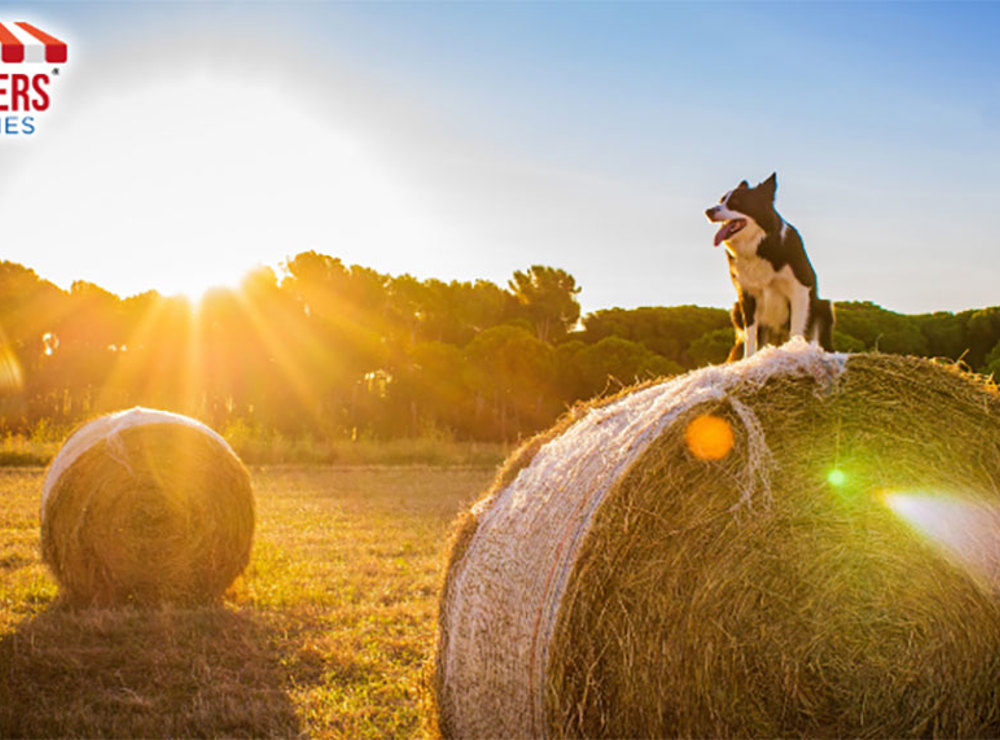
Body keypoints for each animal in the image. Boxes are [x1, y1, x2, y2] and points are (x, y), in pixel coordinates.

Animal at [704, 173, 836, 358]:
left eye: (736, 202)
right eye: (721, 200)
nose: (708, 211)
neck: (761, 246)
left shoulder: (800, 289)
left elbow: (796, 328)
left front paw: (793, 350)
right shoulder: (746, 294)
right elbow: (750, 335)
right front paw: (748, 359)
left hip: (824, 306)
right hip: (736, 309)